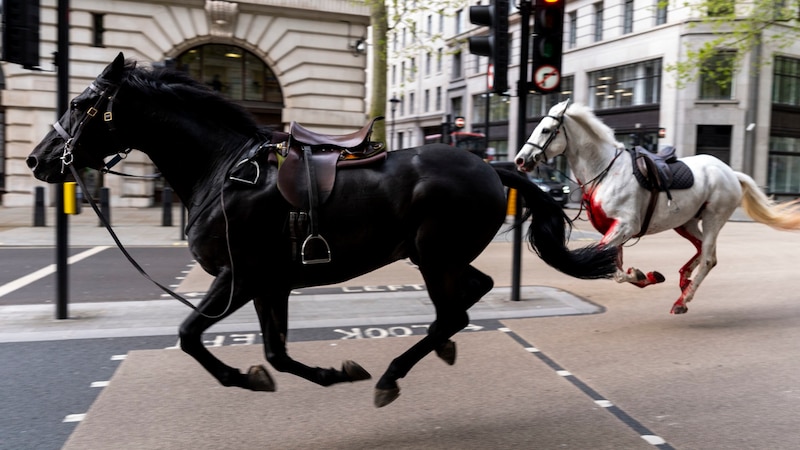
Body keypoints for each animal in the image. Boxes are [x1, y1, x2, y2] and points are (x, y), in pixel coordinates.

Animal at [25, 53, 612, 408]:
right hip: (437, 256)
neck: (224, 170)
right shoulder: (270, 284)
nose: (36, 160)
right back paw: (435, 350)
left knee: (454, 311)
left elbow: (190, 334)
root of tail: (492, 167)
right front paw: (328, 373)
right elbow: (276, 353)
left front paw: (245, 378)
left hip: (433, 256)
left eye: (79, 104)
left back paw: (393, 374)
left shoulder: (239, 277)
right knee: (471, 294)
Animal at [516, 100, 800, 314]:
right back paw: (684, 279)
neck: (605, 171)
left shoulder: (625, 226)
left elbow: (612, 268)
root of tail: (730, 171)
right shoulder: (615, 230)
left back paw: (682, 300)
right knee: (703, 251)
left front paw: (642, 275)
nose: (520, 160)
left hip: (713, 218)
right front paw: (646, 276)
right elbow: (615, 268)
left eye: (546, 130)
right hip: (686, 222)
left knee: (708, 258)